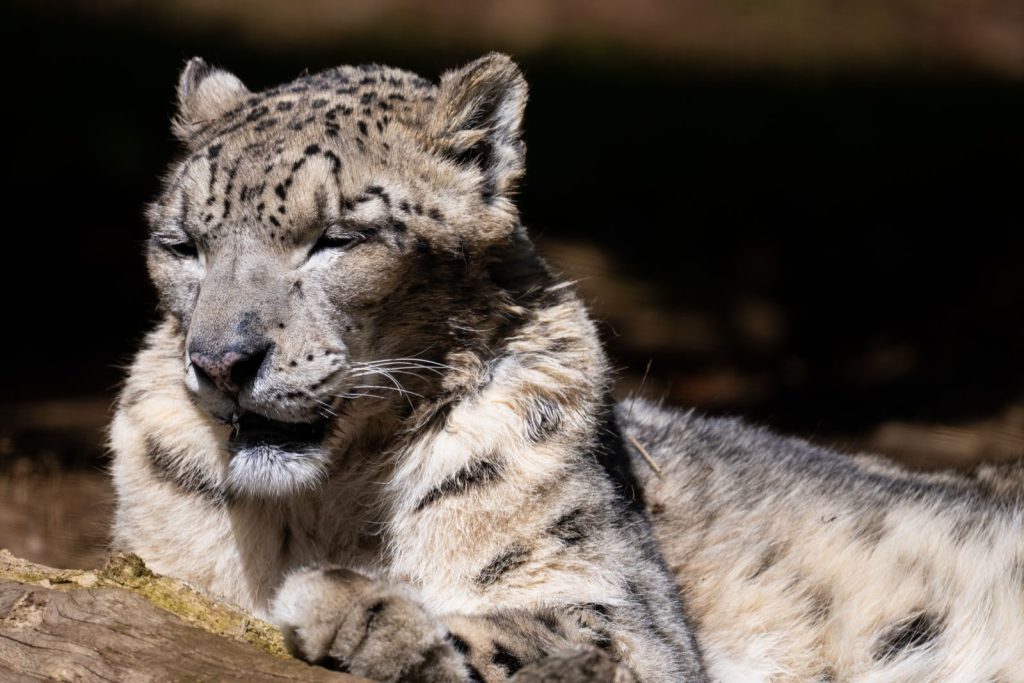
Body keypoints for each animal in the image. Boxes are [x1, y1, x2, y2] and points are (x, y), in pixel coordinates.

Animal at [109, 53, 1024, 682]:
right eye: (181, 244)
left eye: (337, 236)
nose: (222, 360)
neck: (329, 505)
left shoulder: (629, 619)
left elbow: (554, 633)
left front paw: (355, 605)